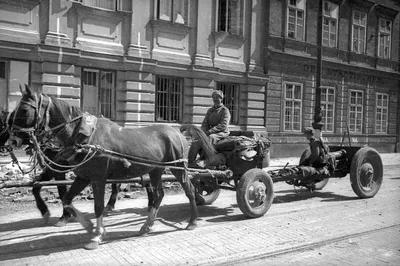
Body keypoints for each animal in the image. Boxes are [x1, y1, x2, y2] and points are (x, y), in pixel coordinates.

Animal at [9, 84, 211, 249]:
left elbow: (98, 206)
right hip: (155, 170)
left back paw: (192, 221)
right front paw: (88, 225)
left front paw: (97, 235)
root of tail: (176, 131)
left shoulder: (98, 179)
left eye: (24, 109)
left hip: (178, 169)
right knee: (159, 195)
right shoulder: (84, 177)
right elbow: (66, 199)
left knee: (189, 190)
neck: (85, 135)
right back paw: (146, 226)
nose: (13, 139)